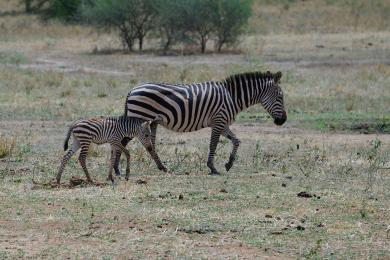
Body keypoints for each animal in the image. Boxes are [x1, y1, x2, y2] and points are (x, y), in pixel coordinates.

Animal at [123, 70, 288, 175]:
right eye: (280, 96)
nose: (283, 120)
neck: (232, 97)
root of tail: (132, 90)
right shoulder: (218, 121)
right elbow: (213, 144)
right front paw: (212, 167)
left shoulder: (223, 123)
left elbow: (236, 141)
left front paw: (229, 163)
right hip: (139, 120)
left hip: (150, 122)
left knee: (149, 145)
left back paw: (161, 167)